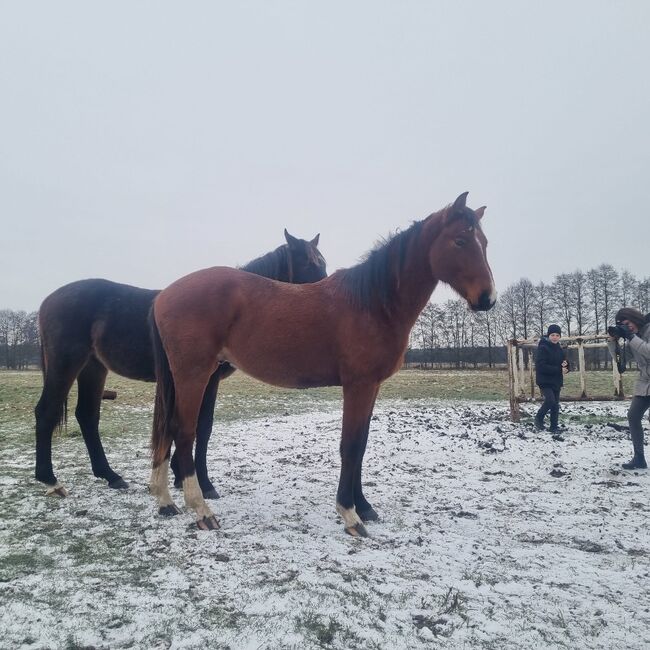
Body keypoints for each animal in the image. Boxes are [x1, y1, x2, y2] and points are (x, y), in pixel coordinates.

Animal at [35, 229, 324, 496]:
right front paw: (203, 483)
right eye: (309, 264)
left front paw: (177, 473)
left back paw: (110, 475)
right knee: (46, 411)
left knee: (87, 415)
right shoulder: (206, 378)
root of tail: (48, 300)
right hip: (66, 363)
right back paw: (49, 479)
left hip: (94, 368)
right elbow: (201, 425)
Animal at [151, 190, 496, 536]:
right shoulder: (358, 385)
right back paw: (201, 510)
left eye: (484, 241)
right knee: (184, 432)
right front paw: (350, 514)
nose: (488, 299)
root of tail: (163, 296)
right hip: (194, 375)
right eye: (460, 241)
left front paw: (364, 506)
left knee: (168, 430)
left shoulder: (372, 387)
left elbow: (362, 444)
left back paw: (165, 501)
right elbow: (350, 445)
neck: (373, 303)